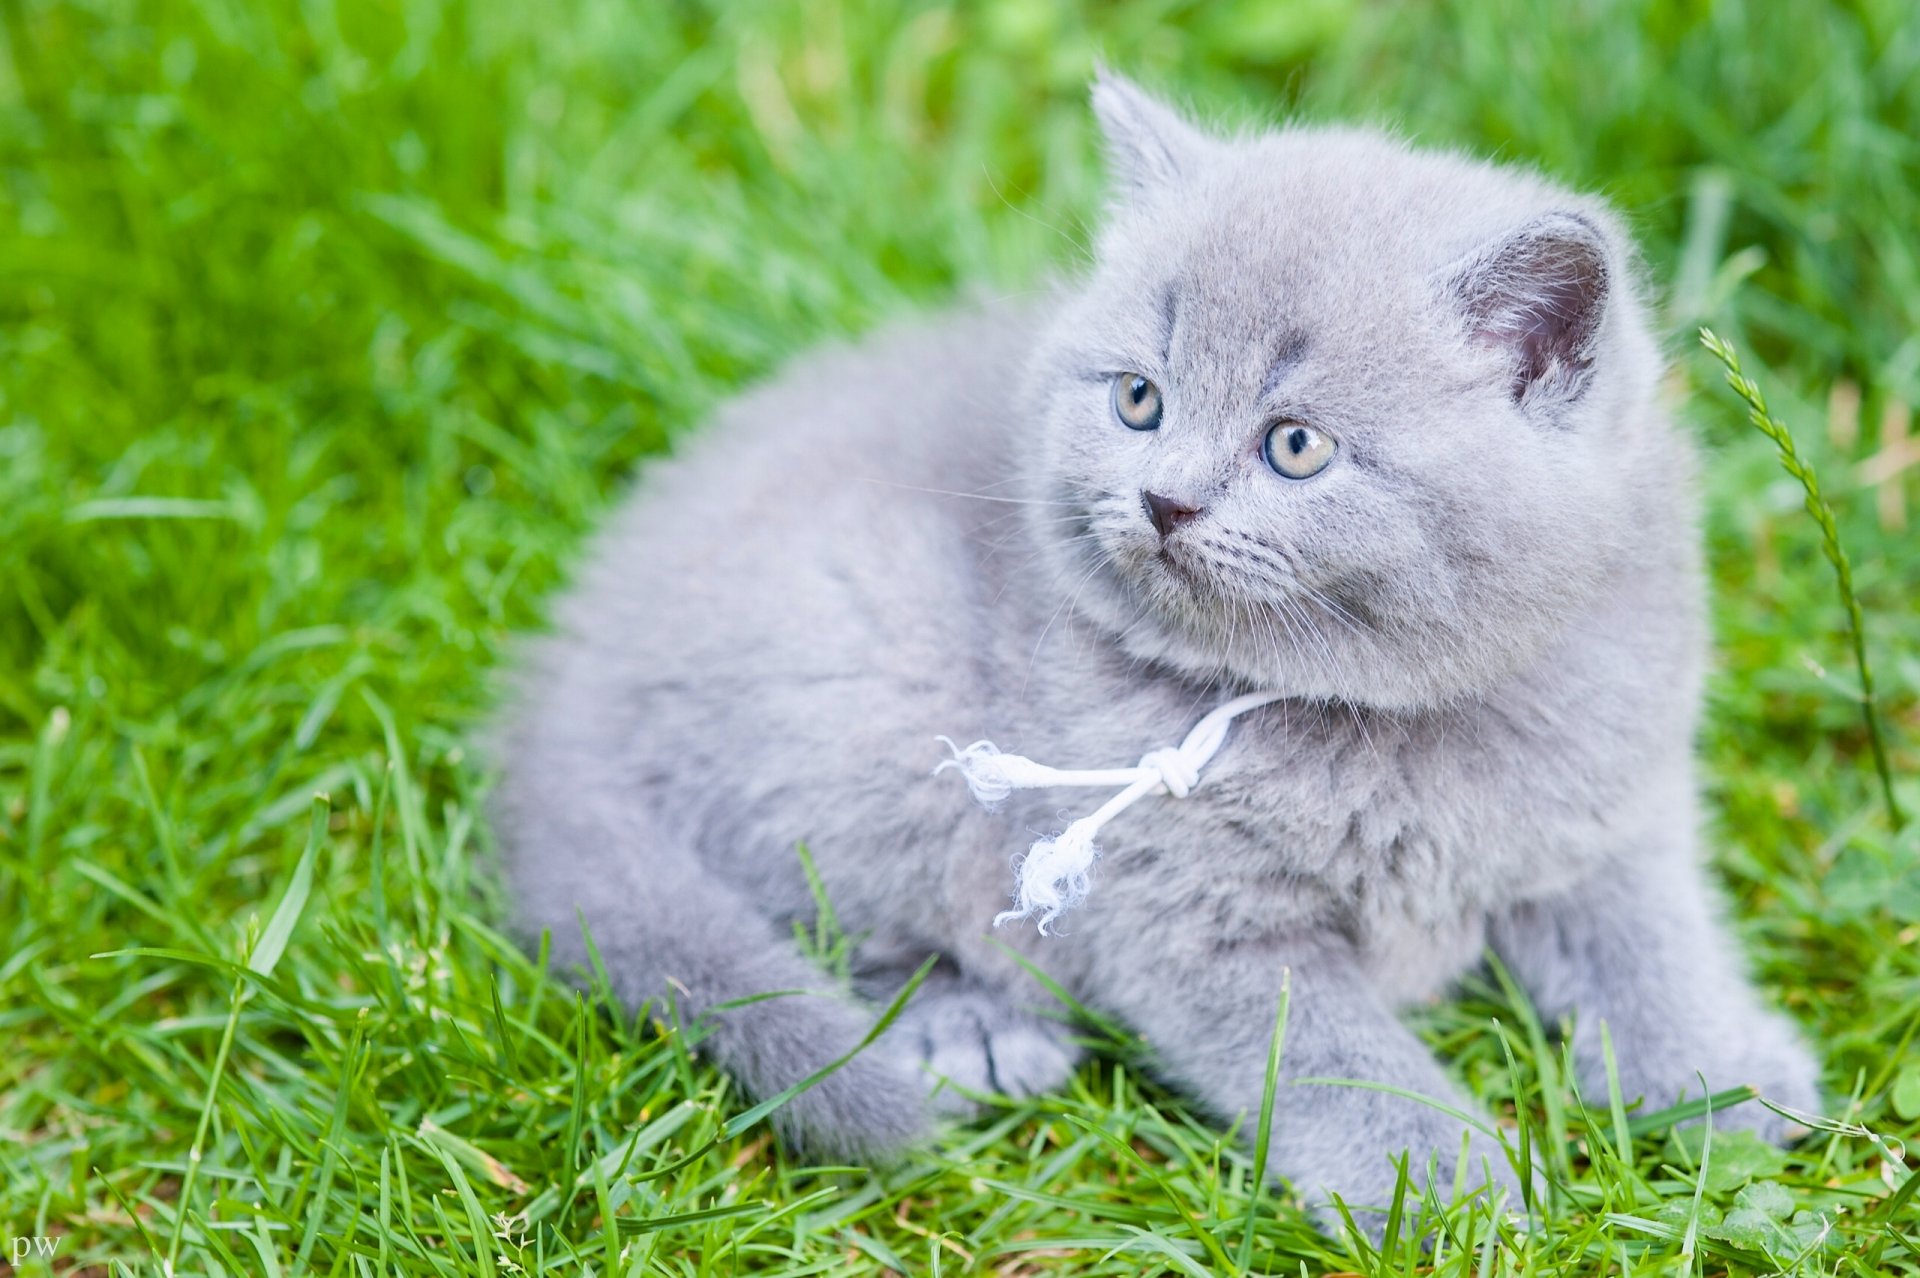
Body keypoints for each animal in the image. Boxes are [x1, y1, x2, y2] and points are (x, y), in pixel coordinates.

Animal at [491, 77, 1812, 1228]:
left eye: (1294, 446)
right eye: (1140, 400)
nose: (1165, 499)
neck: (1379, 719)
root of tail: (563, 675)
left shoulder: (1610, 806)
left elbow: (1656, 942)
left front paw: (1731, 1077)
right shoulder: (1183, 913)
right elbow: (1328, 1051)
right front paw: (1441, 1184)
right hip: (871, 674)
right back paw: (967, 1025)